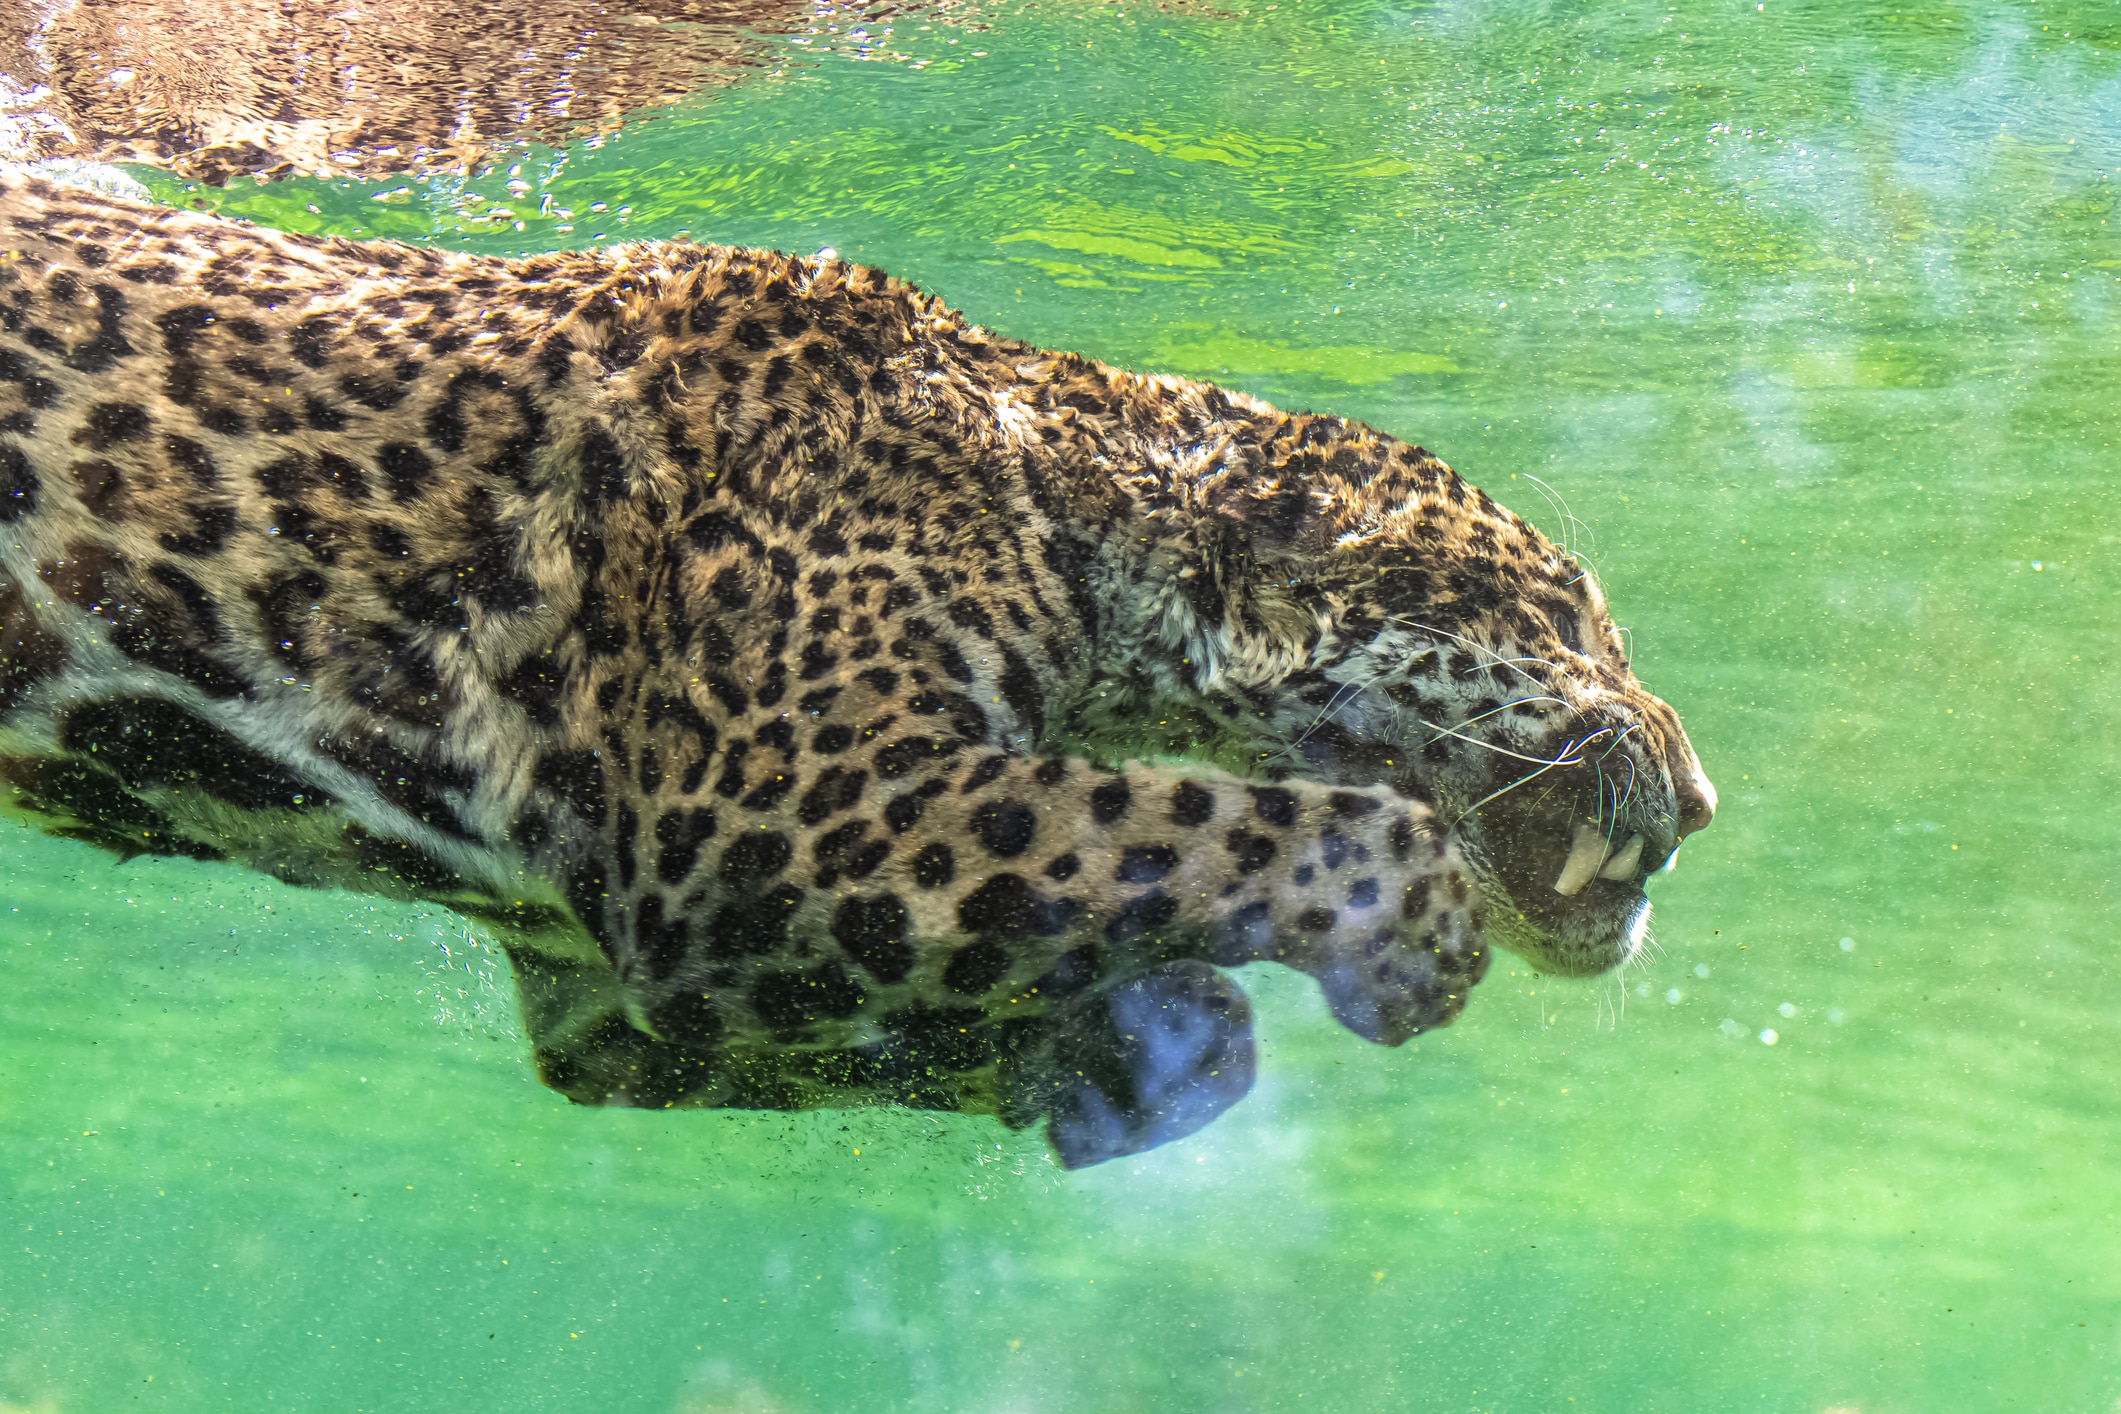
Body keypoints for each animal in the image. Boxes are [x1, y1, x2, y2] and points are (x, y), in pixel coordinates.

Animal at [0, 172, 1714, 1166]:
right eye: (1571, 620)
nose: (1700, 799)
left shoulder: (607, 996)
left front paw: (1141, 1047)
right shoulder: (780, 814)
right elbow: (1194, 812)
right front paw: (1399, 929)